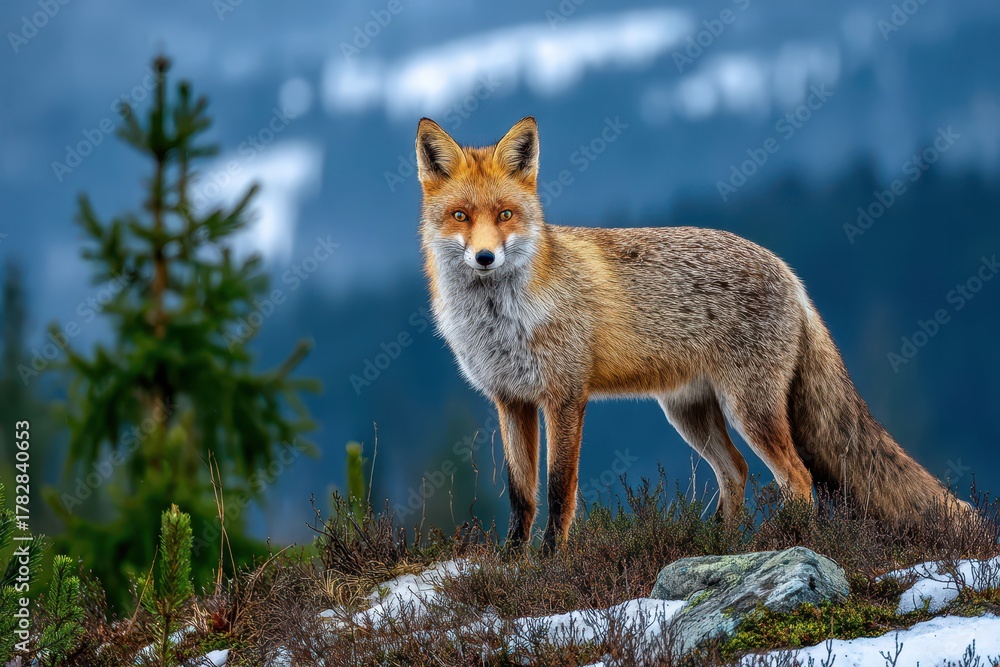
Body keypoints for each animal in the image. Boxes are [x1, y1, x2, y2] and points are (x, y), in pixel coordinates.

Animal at [416, 116, 969, 553]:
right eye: (461, 216)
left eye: (505, 215)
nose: (485, 257)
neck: (501, 321)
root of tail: (790, 273)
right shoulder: (511, 401)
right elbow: (520, 495)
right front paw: (513, 565)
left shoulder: (565, 397)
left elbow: (558, 490)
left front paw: (552, 563)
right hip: (690, 414)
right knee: (737, 472)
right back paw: (721, 546)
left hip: (750, 410)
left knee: (797, 477)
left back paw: (787, 543)